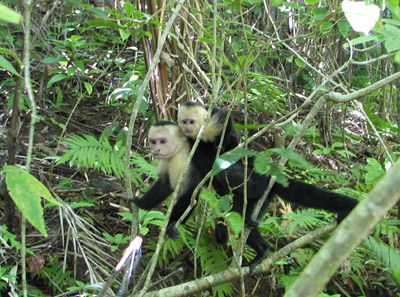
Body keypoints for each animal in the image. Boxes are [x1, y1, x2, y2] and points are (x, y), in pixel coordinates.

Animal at [177, 100, 358, 272]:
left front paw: (228, 145)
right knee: (239, 218)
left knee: (236, 185)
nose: (187, 127)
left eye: (191, 121)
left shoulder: (212, 120)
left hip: (258, 190)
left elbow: (226, 120)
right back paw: (262, 249)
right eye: (184, 121)